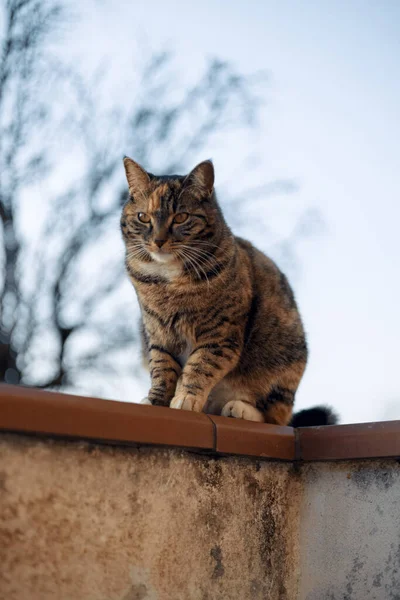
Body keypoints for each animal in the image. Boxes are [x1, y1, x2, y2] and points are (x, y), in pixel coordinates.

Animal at [120, 157, 336, 424]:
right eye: (143, 217)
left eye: (181, 217)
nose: (158, 241)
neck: (168, 281)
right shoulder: (158, 333)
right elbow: (162, 367)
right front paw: (155, 400)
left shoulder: (220, 335)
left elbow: (199, 366)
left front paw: (186, 398)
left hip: (283, 360)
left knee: (276, 415)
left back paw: (241, 408)